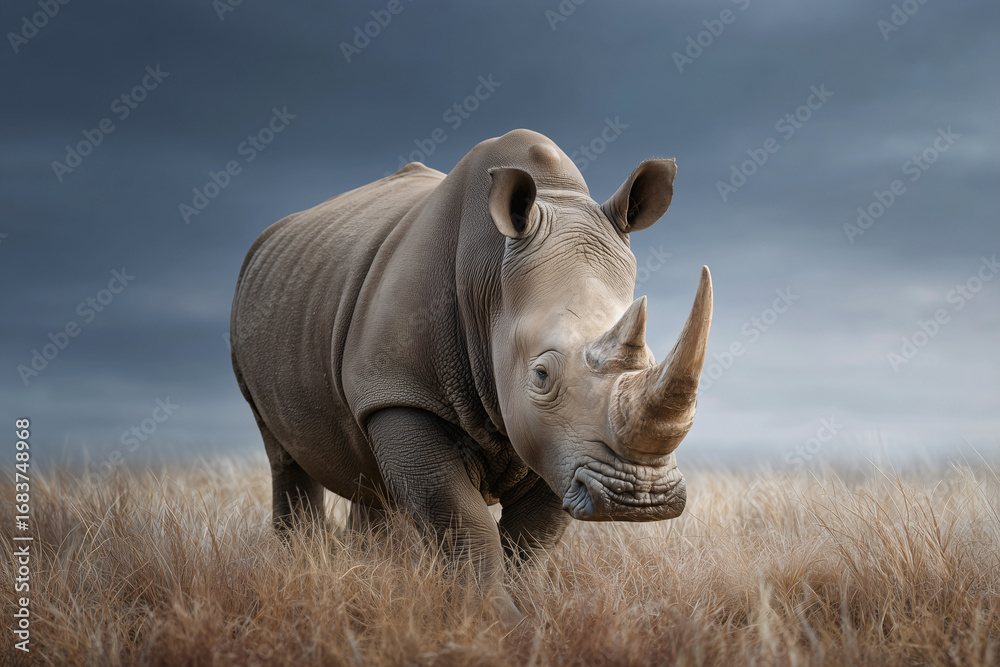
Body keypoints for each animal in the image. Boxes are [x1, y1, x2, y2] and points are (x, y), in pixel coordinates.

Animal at [230, 129, 712, 621]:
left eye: (651, 358)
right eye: (541, 375)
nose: (639, 497)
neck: (492, 287)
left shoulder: (559, 441)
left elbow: (531, 538)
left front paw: (523, 616)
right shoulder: (401, 393)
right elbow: (462, 520)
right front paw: (495, 622)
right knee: (283, 453)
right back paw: (301, 562)